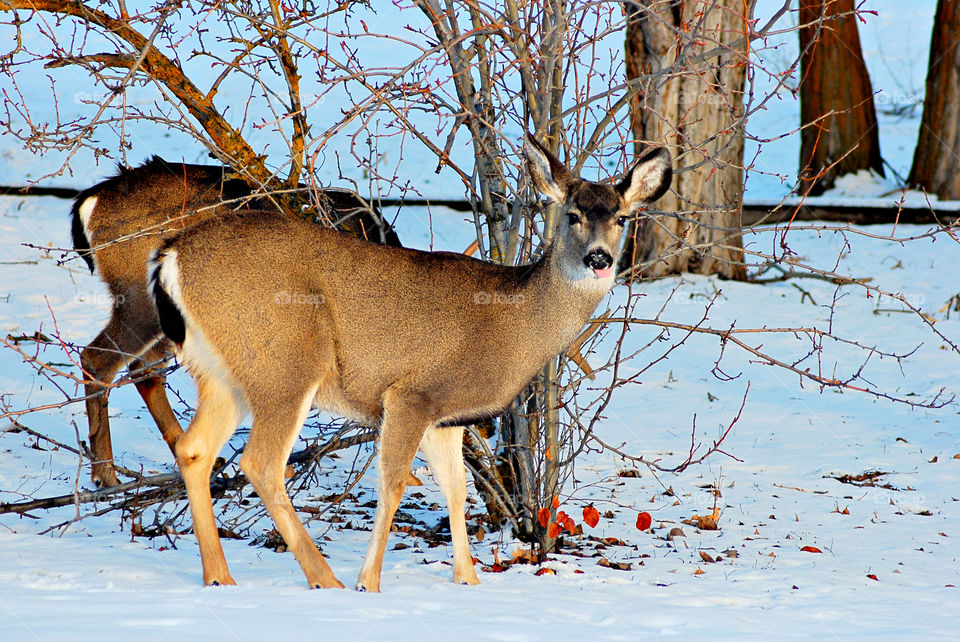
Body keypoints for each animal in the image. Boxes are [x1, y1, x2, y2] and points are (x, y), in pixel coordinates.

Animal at [152, 136, 676, 592]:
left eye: (622, 217)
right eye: (572, 215)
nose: (599, 259)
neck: (512, 326)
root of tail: (171, 255)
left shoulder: (446, 416)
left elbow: (457, 490)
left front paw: (468, 579)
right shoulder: (411, 393)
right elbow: (393, 485)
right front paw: (370, 583)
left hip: (222, 373)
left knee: (194, 449)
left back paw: (220, 576)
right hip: (288, 360)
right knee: (260, 462)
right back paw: (325, 579)